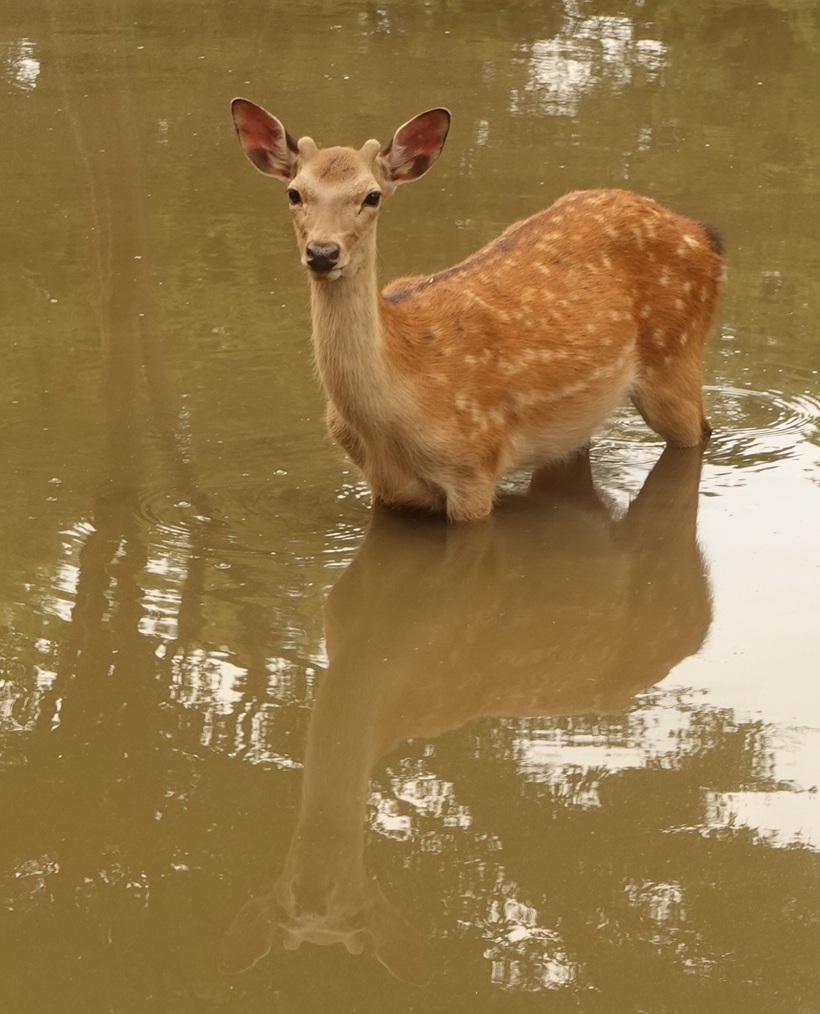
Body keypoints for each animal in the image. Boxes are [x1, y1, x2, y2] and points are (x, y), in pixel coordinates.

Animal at [230, 99, 725, 521]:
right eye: (295, 193)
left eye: (372, 196)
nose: (323, 252)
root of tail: (705, 236)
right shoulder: (382, 489)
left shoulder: (474, 465)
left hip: (675, 357)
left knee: (701, 430)